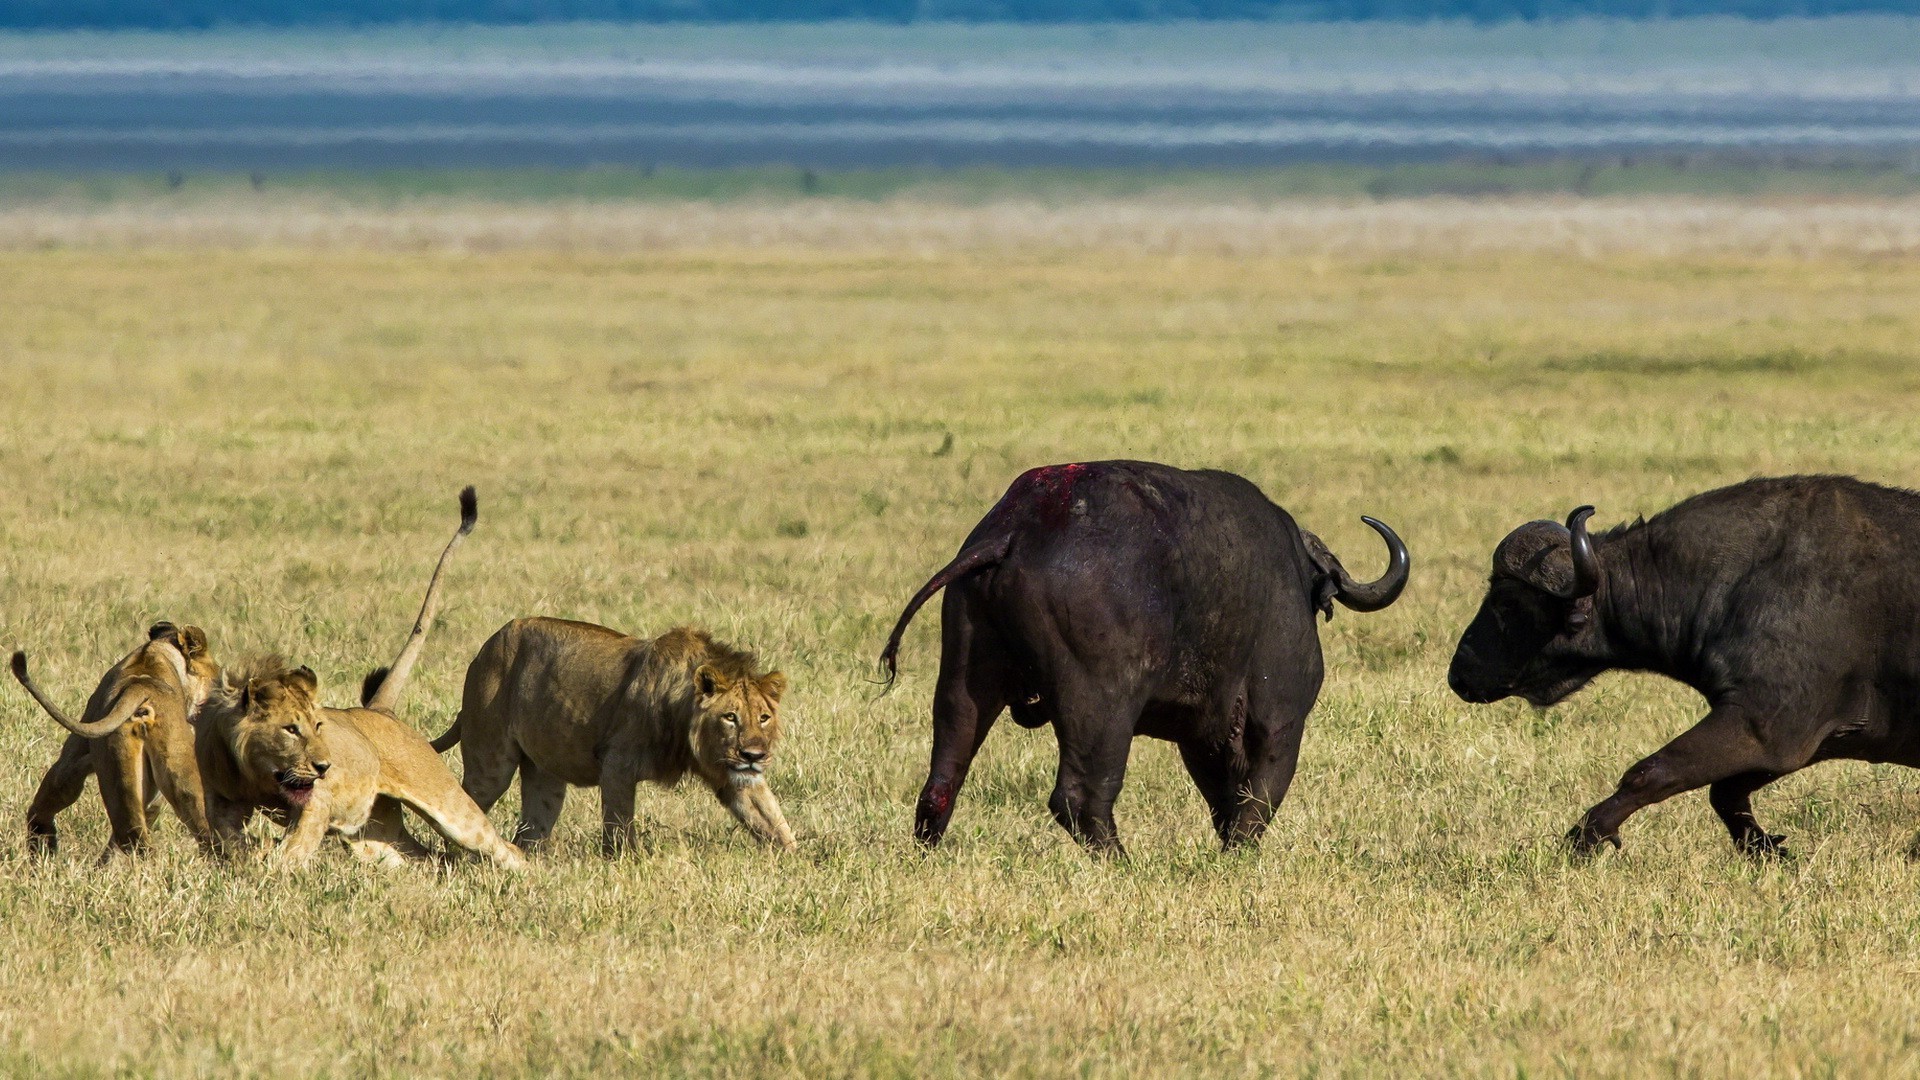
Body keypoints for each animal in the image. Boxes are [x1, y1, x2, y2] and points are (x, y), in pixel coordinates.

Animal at [426, 618, 794, 853]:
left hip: (545, 774)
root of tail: (485, 648)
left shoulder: (733, 776)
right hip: (491, 764)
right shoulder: (617, 764)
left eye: (763, 718)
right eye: (730, 717)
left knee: (531, 830)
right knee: (465, 805)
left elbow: (773, 821)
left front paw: (796, 863)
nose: (754, 756)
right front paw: (627, 865)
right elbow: (619, 828)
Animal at [883, 455, 1413, 849]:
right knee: (1081, 797)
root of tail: (1013, 531)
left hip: (964, 678)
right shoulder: (1280, 720)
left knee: (942, 782)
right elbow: (1256, 802)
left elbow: (1225, 801)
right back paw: (1123, 861)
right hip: (1101, 708)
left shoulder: (1203, 736)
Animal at [1443, 474, 1920, 853]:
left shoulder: (1766, 725)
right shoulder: (1809, 741)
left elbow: (1650, 773)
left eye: (1507, 603)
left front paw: (1587, 836)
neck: (1741, 578)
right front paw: (1765, 847)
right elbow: (1723, 792)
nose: (1459, 674)